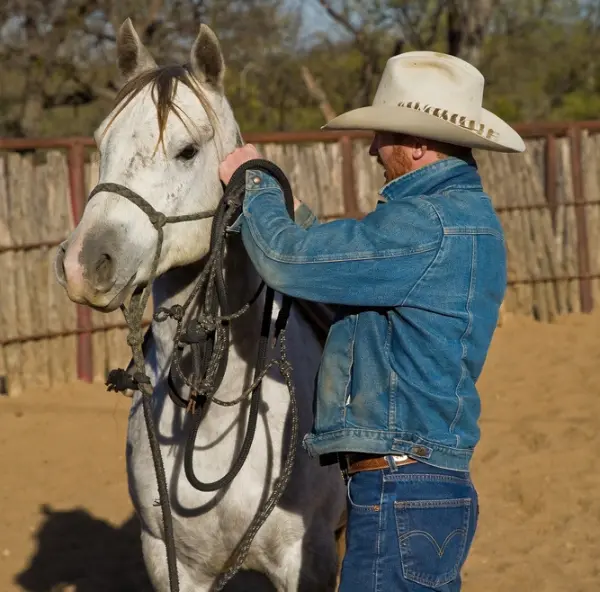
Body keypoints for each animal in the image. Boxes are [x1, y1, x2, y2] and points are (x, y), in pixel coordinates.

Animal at [57, 18, 346, 592]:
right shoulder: (170, 562)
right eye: (100, 143)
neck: (212, 414)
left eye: (188, 150)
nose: (84, 264)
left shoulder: (309, 561)